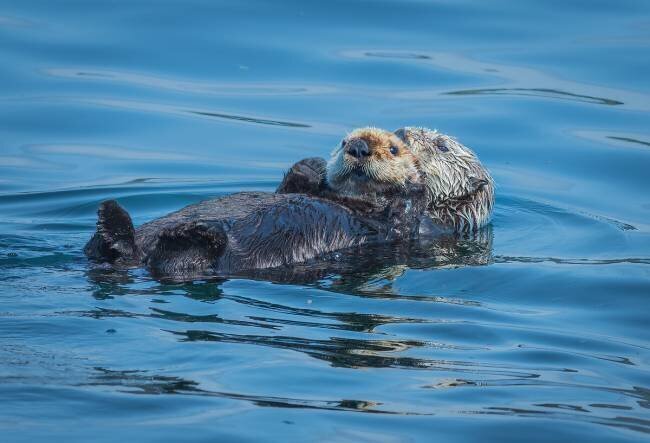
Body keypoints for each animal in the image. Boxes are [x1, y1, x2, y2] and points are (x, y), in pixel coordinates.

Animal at [85, 127, 493, 279]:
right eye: (402, 135)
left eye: (441, 145)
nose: (359, 147)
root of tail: (135, 254)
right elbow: (293, 186)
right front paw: (311, 166)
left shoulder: (410, 227)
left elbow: (401, 209)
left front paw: (408, 184)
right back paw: (111, 219)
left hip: (195, 260)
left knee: (179, 260)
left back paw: (194, 233)